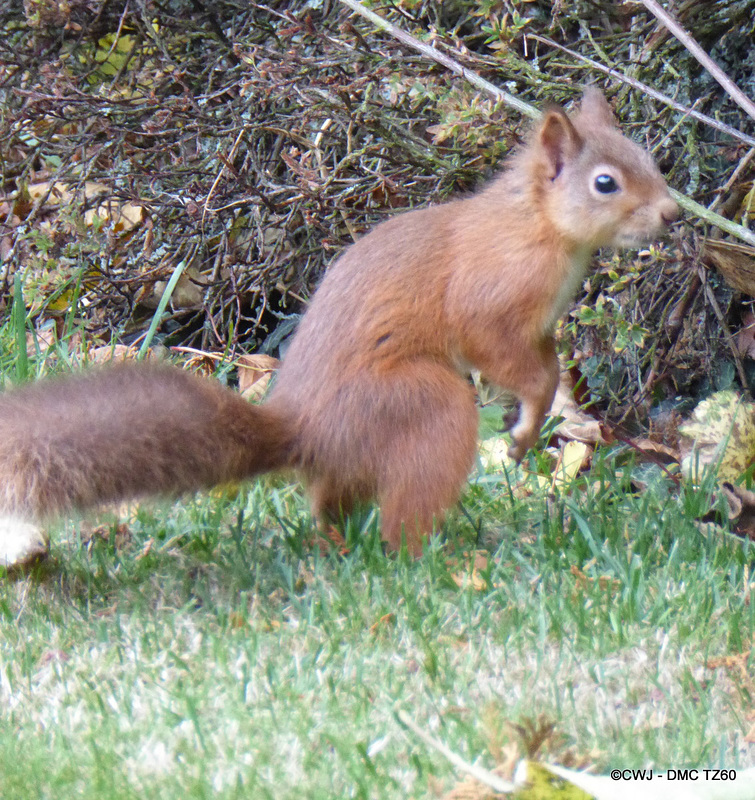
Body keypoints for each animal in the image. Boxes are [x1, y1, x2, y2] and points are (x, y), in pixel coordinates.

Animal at [0, 89, 676, 564]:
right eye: (605, 183)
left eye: (649, 159)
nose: (672, 213)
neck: (538, 226)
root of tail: (308, 429)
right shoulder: (489, 302)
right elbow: (510, 359)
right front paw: (528, 424)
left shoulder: (539, 325)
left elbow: (551, 360)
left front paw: (539, 416)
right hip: (422, 405)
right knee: (404, 522)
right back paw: (445, 561)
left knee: (331, 505)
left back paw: (338, 546)